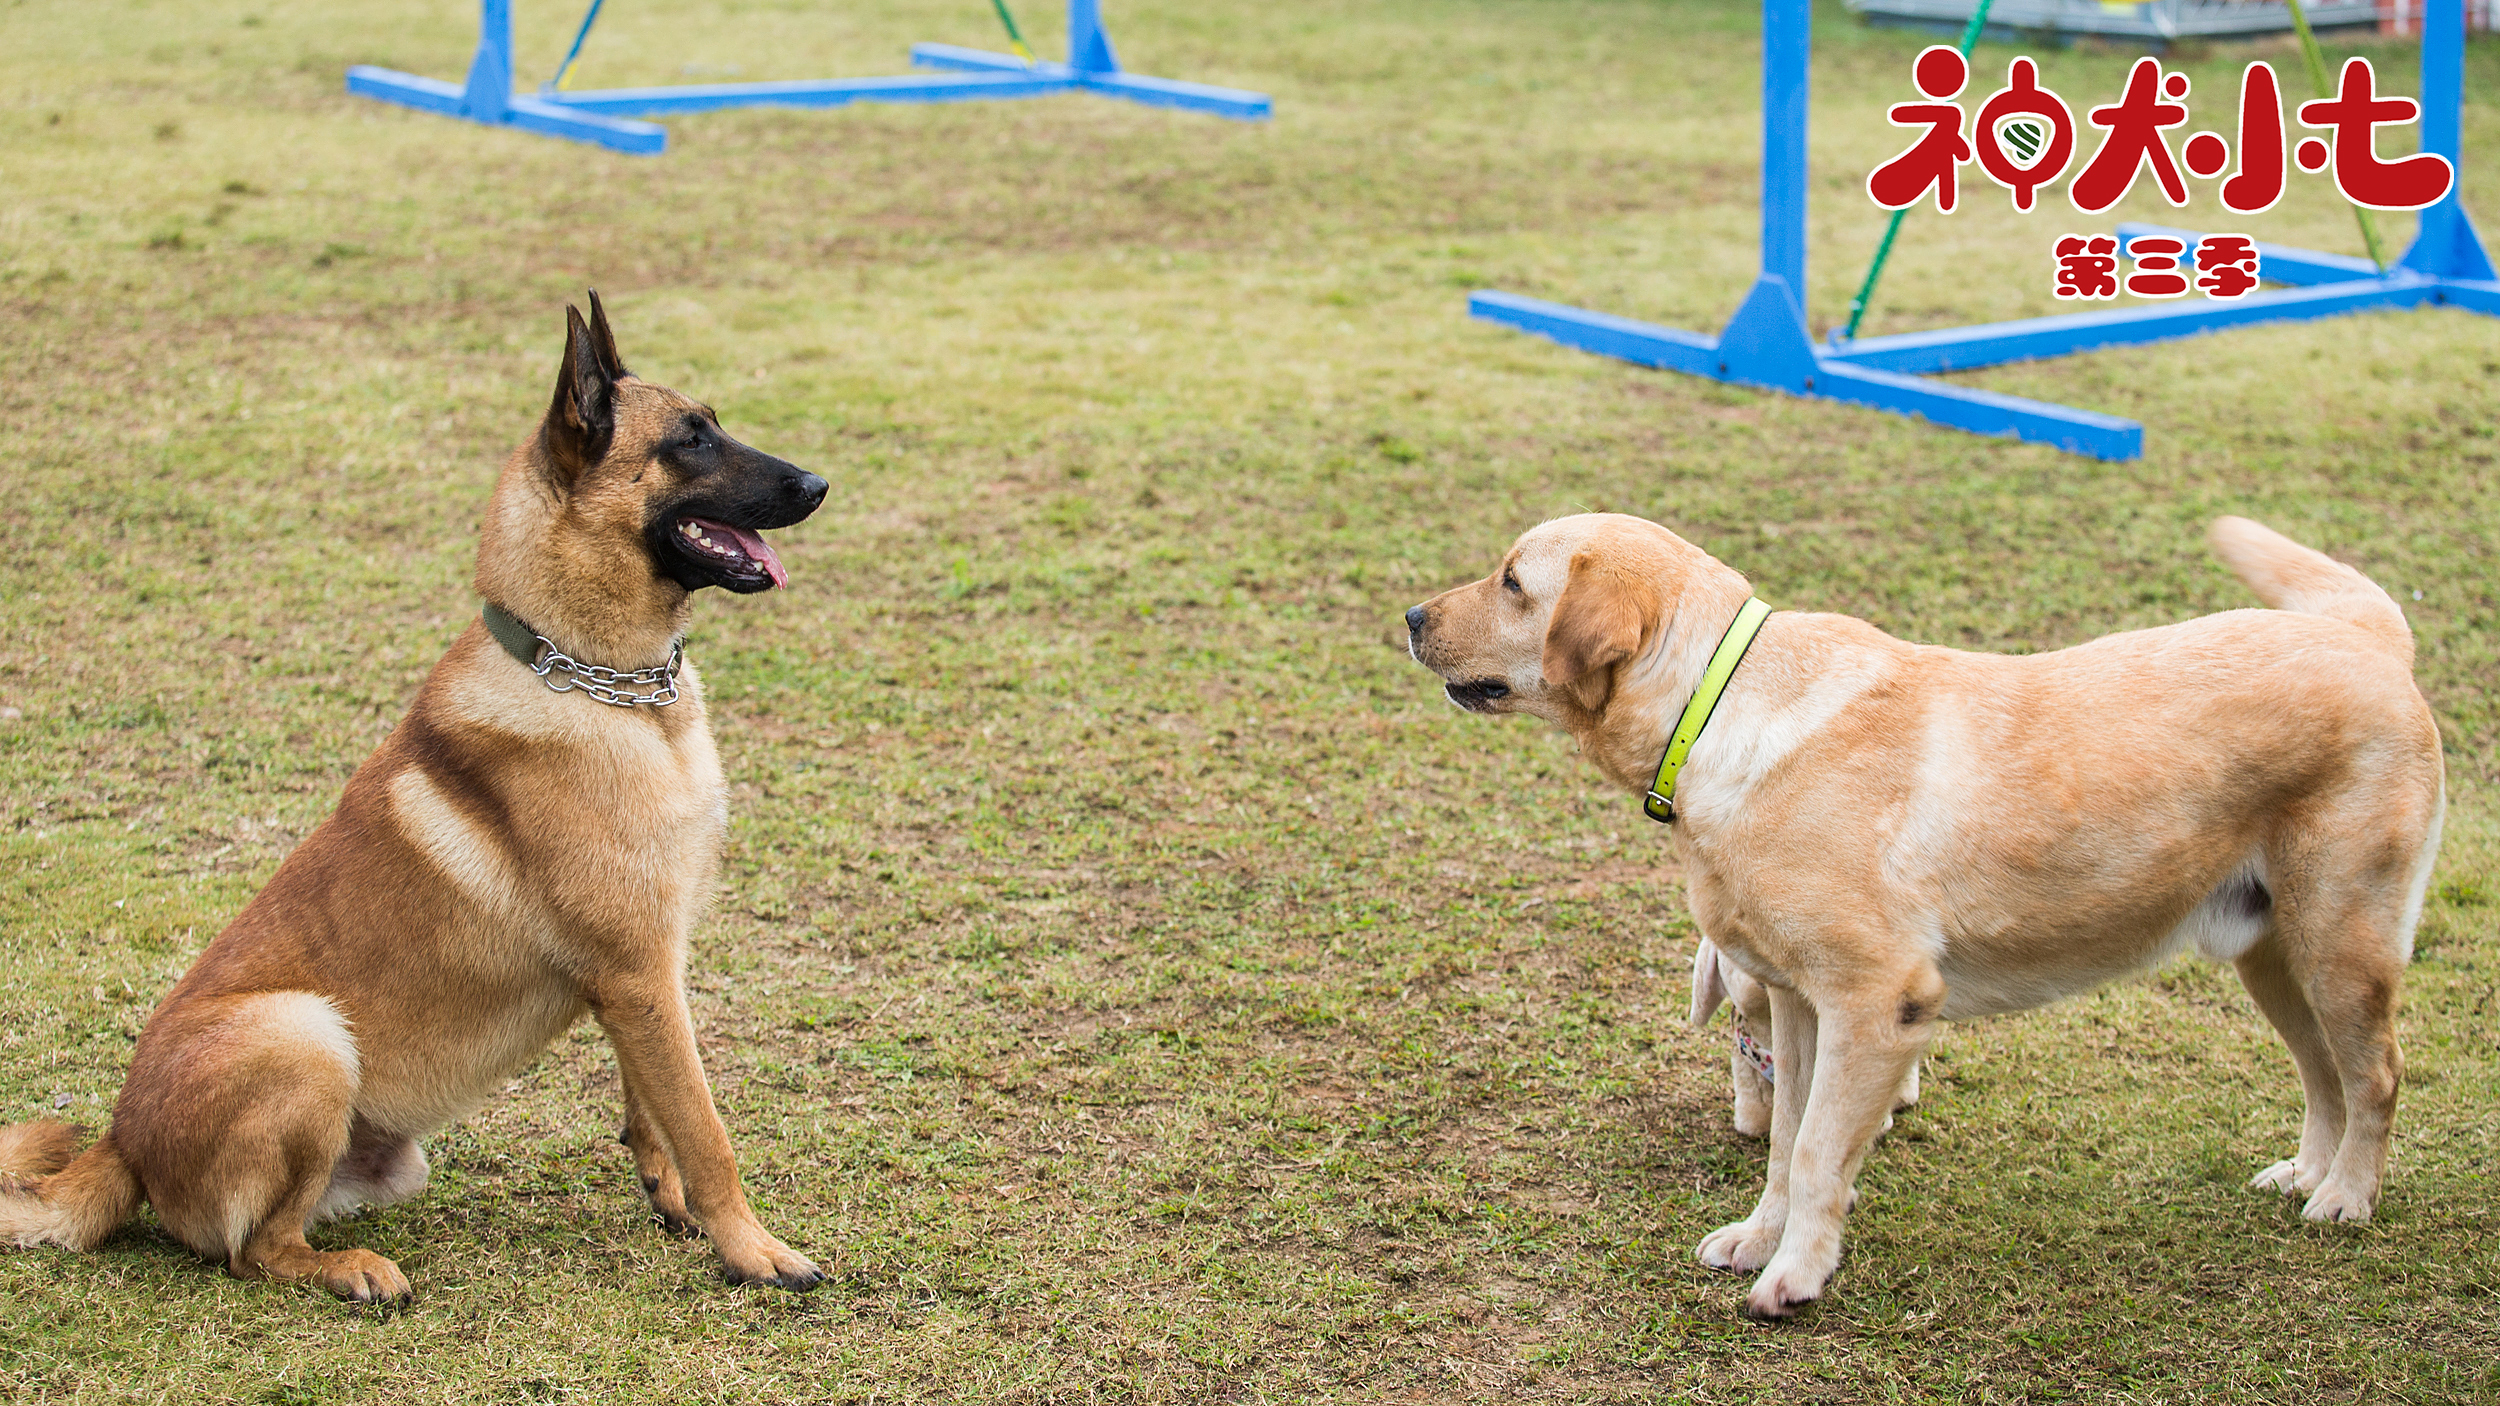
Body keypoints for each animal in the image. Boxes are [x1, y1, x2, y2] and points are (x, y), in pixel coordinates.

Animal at [2, 290, 840, 1300]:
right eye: (691, 440)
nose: (820, 484)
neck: (595, 679)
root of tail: (118, 1141)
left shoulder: (646, 975)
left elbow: (654, 1109)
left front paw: (671, 1203)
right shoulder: (640, 970)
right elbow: (708, 1131)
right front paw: (753, 1250)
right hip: (303, 1034)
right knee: (255, 1250)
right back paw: (353, 1272)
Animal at [1410, 515, 2440, 1310]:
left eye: (1512, 581)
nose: (1411, 617)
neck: (1718, 706)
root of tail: (2370, 640)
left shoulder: (1878, 1004)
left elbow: (1819, 1153)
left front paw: (1795, 1279)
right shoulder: (1800, 1006)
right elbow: (1784, 1144)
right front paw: (1758, 1239)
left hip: (2342, 949)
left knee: (2378, 1074)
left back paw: (2346, 1198)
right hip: (2272, 958)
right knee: (2324, 1076)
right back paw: (2307, 1173)